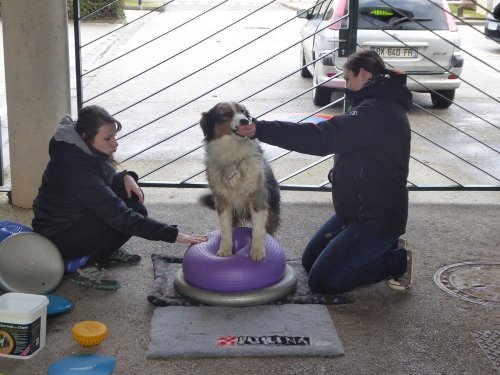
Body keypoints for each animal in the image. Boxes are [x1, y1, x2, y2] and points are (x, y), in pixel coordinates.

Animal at [200, 101, 282, 262]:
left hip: (272, 205)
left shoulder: (257, 197)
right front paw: (225, 250)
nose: (245, 121)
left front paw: (257, 251)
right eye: (225, 114)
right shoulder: (222, 200)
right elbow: (226, 230)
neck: (233, 152)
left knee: (270, 226)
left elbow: (258, 230)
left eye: (243, 112)